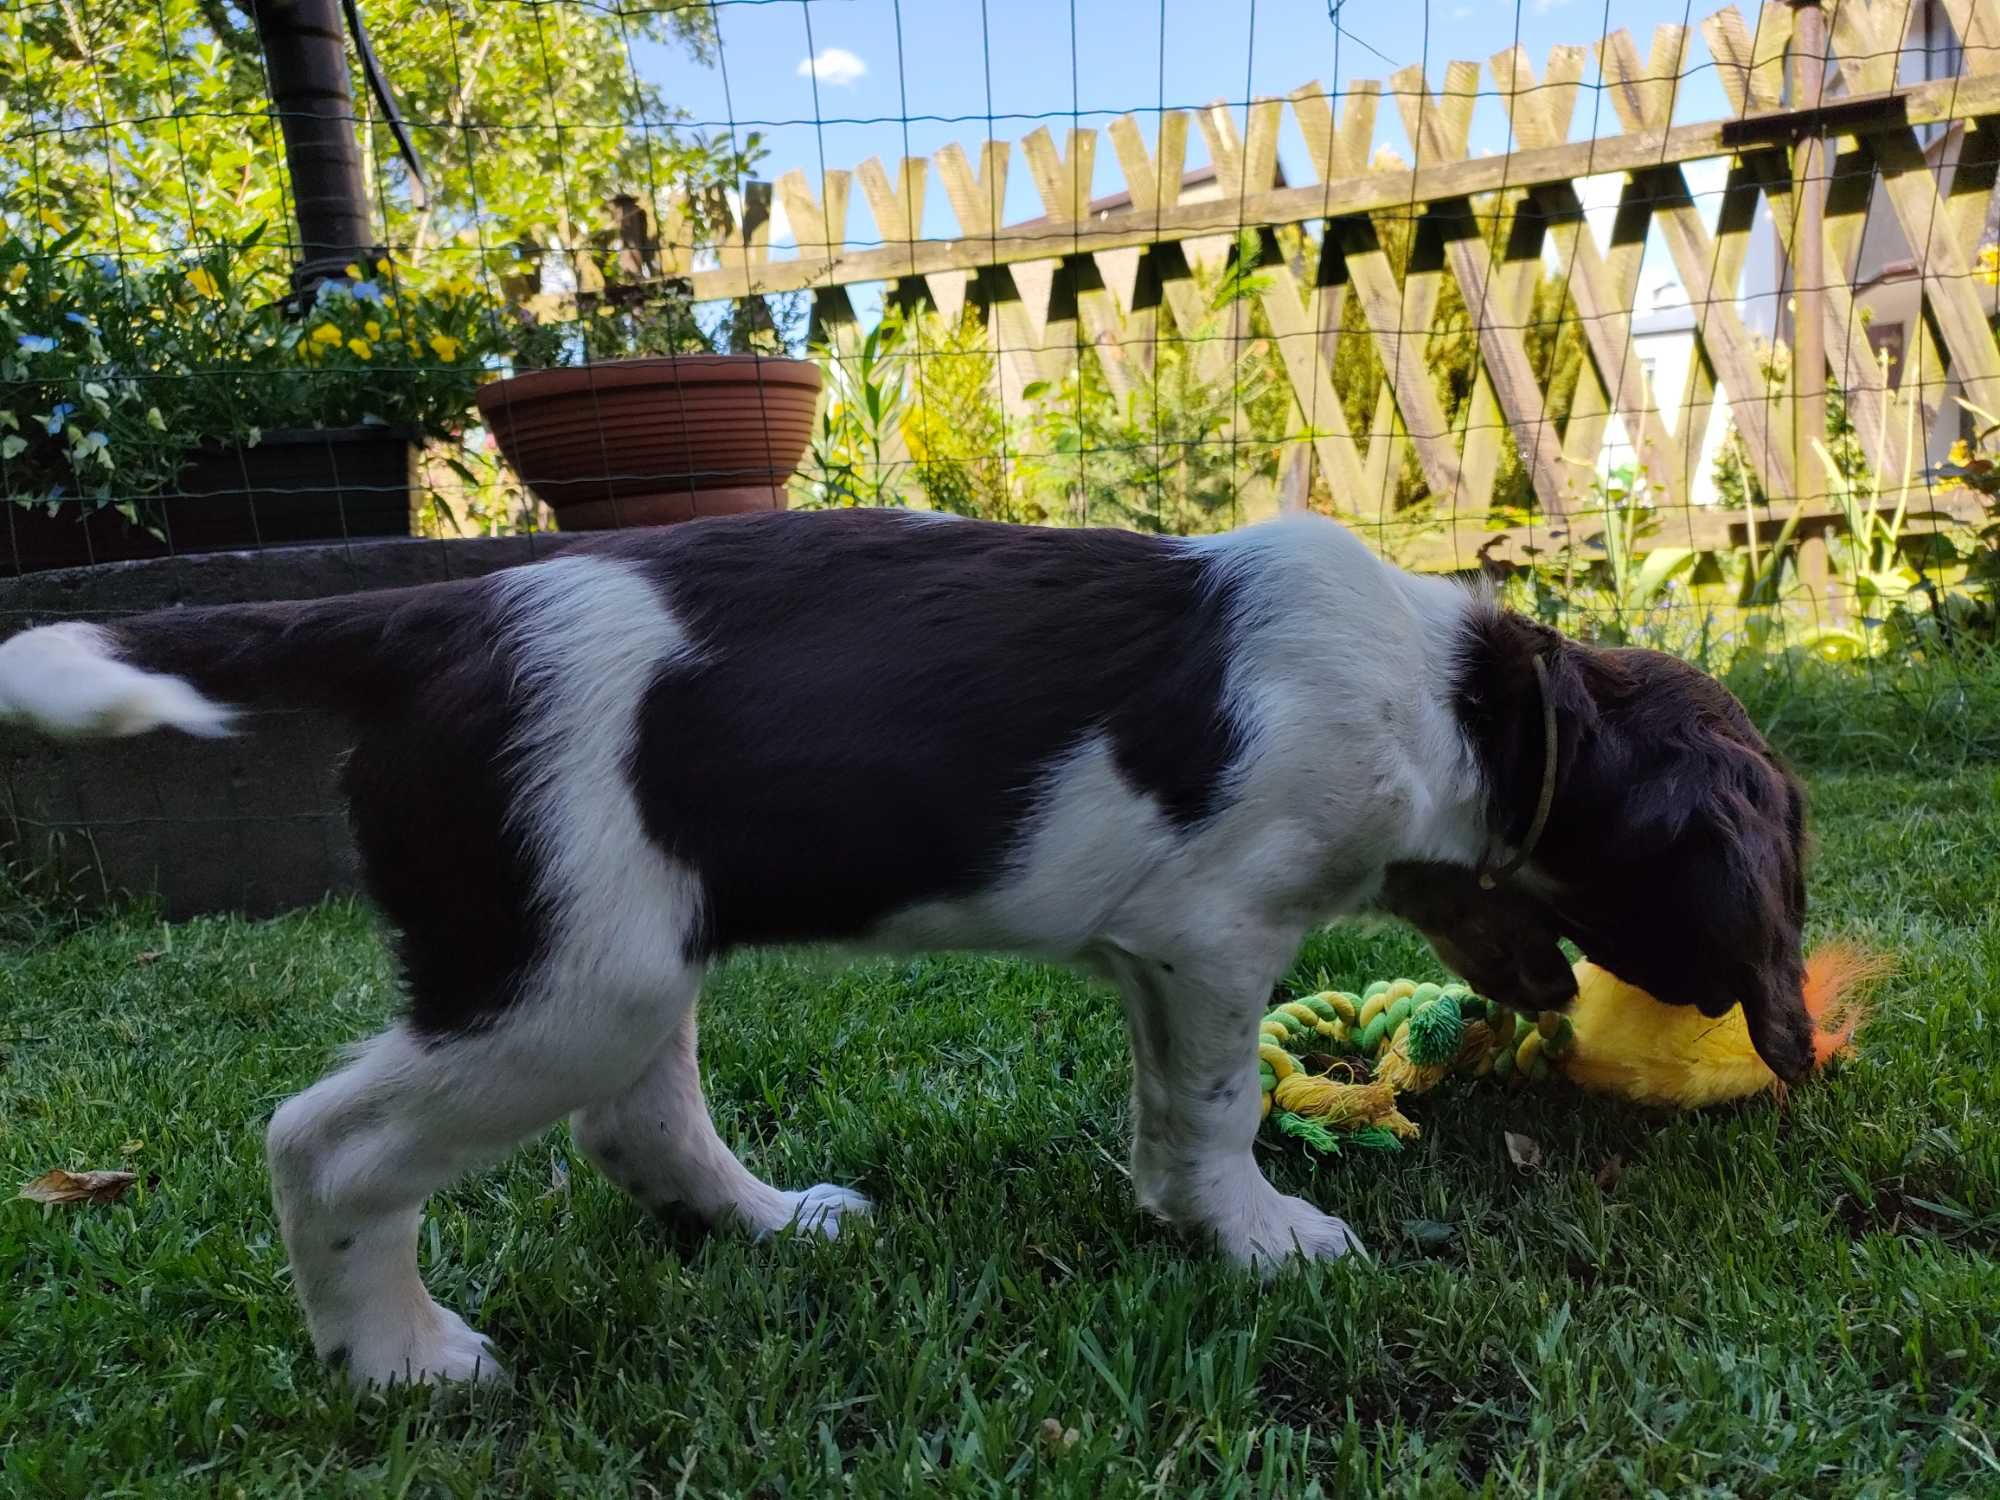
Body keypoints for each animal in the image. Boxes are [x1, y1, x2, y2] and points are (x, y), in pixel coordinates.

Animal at [0, 516, 1816, 1384]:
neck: (1460, 695)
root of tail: (424, 616)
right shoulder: (1221, 932)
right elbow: (1223, 1105)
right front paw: (1263, 1239)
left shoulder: (1159, 957)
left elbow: (1167, 1108)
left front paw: (1183, 1218)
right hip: (561, 980)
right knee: (325, 1145)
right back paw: (396, 1360)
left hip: (632, 944)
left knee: (640, 1123)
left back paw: (768, 1225)